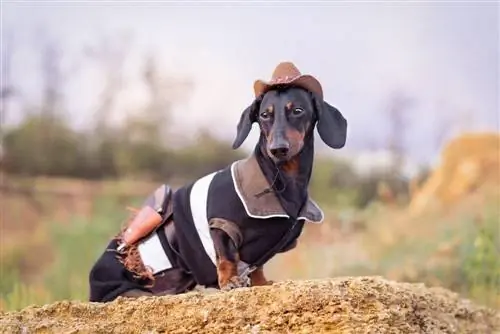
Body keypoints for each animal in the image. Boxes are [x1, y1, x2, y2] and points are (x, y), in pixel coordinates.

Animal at [89, 61, 348, 302]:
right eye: (265, 115)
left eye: (298, 111)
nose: (278, 149)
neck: (278, 178)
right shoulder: (220, 224)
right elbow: (227, 256)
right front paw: (230, 281)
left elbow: (257, 266)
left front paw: (261, 282)